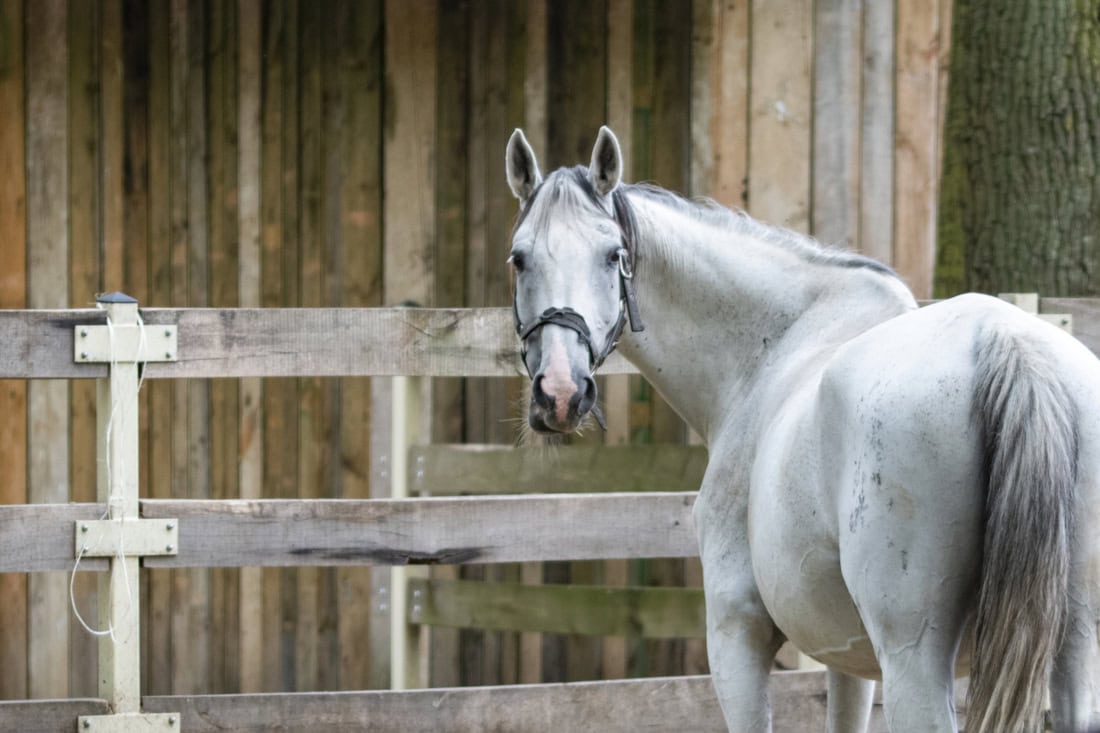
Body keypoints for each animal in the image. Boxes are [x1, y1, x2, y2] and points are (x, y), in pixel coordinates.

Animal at [503, 125, 1100, 732]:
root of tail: (1006, 341)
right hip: (1073, 649)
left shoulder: (736, 635)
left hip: (915, 660)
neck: (774, 347)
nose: (560, 393)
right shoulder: (849, 660)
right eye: (519, 259)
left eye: (613, 256)